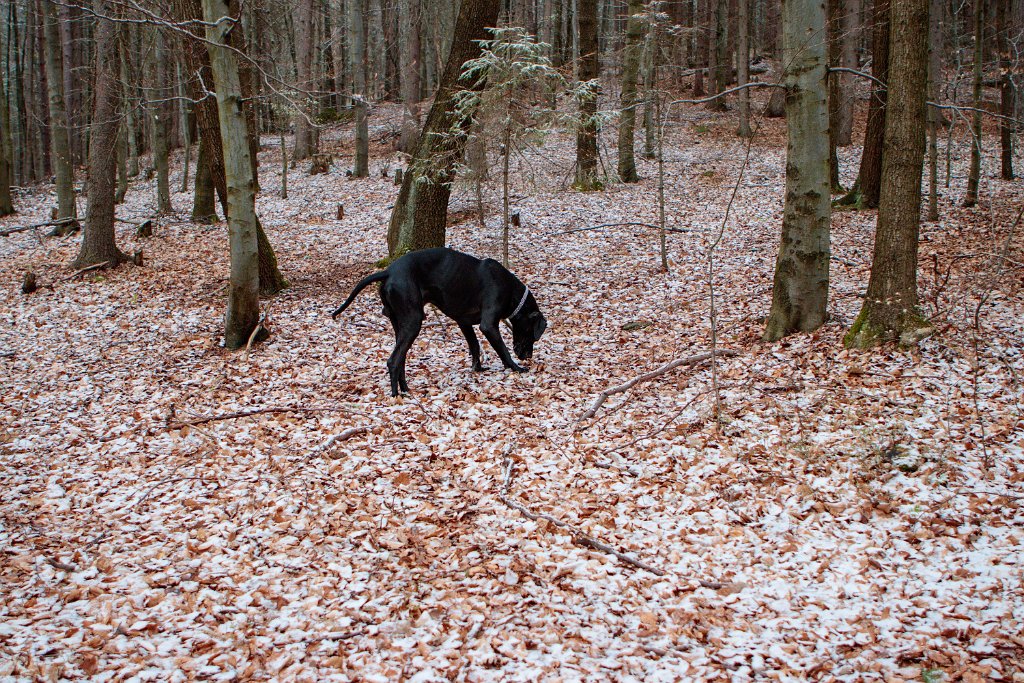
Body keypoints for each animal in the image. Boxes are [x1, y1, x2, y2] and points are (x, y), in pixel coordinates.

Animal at [331, 246, 548, 395]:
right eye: (532, 334)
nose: (528, 356)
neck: (511, 290)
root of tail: (389, 271)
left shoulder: (464, 322)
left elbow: (475, 346)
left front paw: (477, 369)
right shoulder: (488, 325)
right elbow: (503, 351)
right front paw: (516, 368)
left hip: (400, 324)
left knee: (400, 358)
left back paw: (406, 389)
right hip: (413, 321)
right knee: (393, 360)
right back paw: (395, 395)